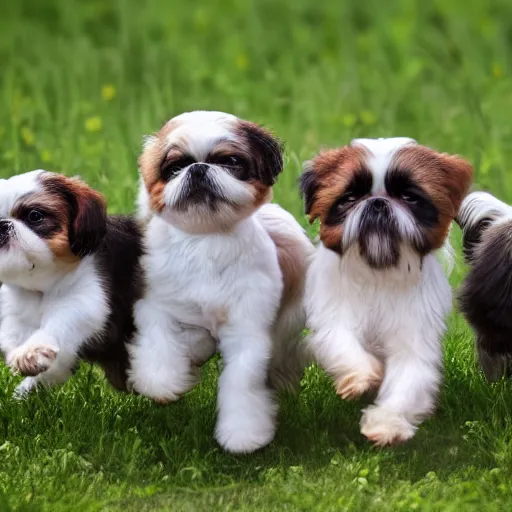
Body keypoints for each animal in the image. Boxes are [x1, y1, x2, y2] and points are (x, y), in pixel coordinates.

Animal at [0, 170, 144, 394]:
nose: (2, 224)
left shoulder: (86, 297)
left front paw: (33, 352)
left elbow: (62, 320)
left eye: (35, 216)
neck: (42, 285)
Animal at [130, 111, 314, 452]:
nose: (198, 168)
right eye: (174, 167)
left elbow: (241, 381)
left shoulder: (247, 331)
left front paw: (244, 434)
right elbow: (161, 339)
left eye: (230, 161)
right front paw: (164, 382)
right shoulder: (155, 304)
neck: (206, 240)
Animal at [300, 138, 472, 446]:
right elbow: (342, 342)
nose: (377, 202)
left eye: (408, 197)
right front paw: (361, 375)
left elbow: (407, 382)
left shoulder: (414, 338)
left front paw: (386, 423)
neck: (378, 271)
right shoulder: (333, 318)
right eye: (350, 198)